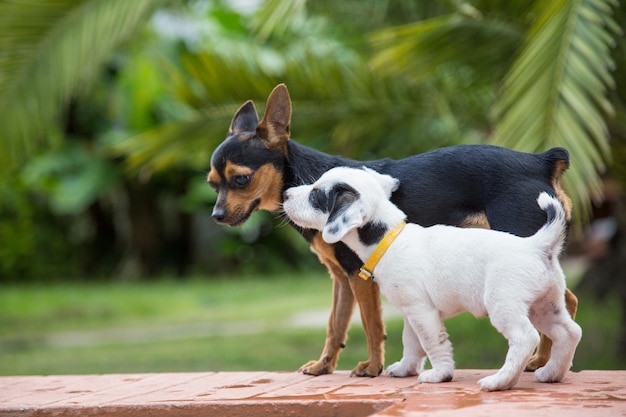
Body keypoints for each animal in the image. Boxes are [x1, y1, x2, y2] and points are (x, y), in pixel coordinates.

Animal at [282, 165, 580, 390]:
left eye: (316, 195)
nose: (285, 193)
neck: (389, 239)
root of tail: (536, 245)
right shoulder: (411, 312)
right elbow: (412, 343)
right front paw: (406, 368)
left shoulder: (422, 312)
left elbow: (432, 343)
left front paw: (440, 374)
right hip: (546, 306)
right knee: (569, 332)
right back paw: (552, 373)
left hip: (505, 306)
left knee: (525, 338)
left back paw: (501, 381)